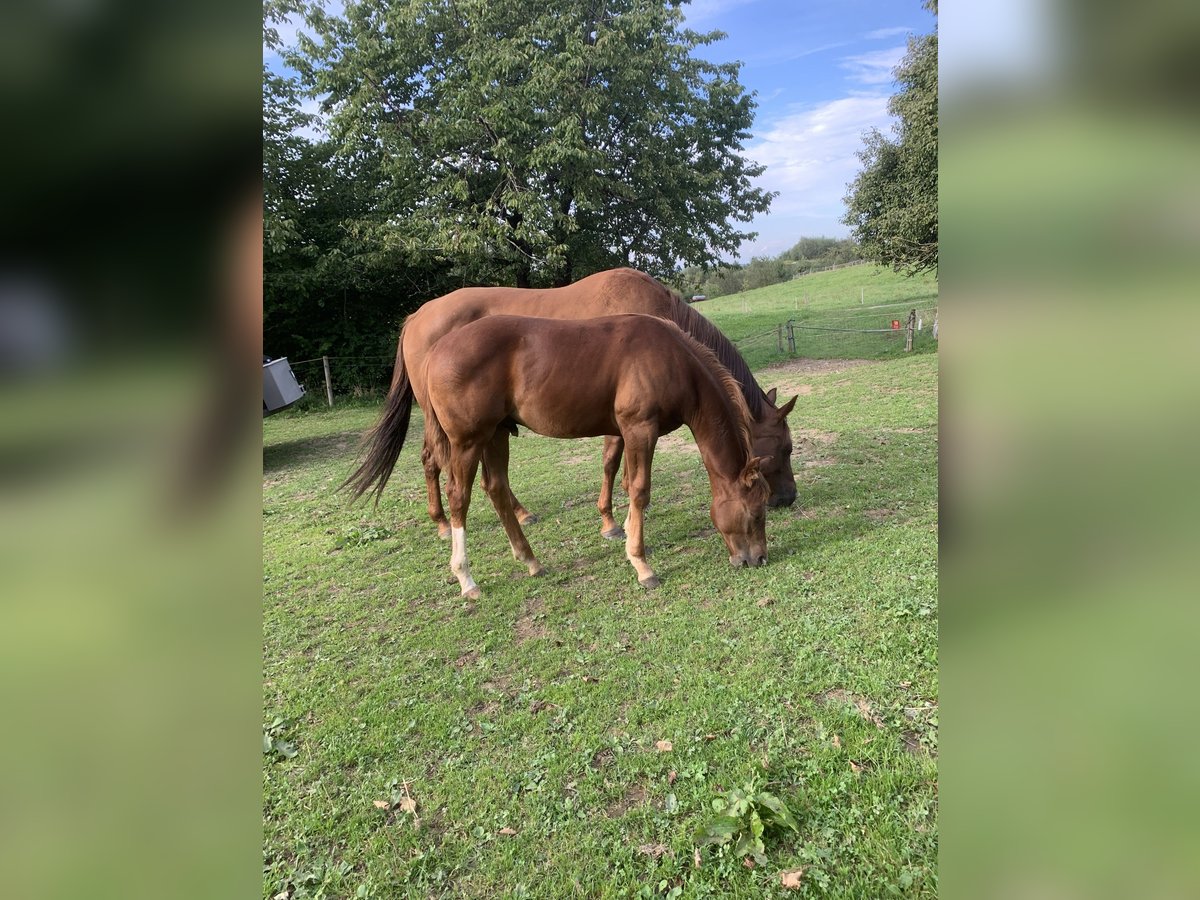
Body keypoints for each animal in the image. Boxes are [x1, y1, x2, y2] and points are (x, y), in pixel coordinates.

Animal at [348, 267, 796, 542]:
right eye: (785, 448)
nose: (788, 498)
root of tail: (416, 318)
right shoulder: (624, 419)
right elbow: (612, 464)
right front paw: (612, 521)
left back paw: (518, 513)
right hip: (444, 422)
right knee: (432, 460)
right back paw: (444, 524)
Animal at [350, 316, 772, 600]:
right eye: (756, 511)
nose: (759, 559)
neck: (671, 357)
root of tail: (435, 350)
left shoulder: (627, 432)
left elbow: (625, 484)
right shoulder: (639, 428)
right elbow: (639, 491)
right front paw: (641, 564)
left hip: (496, 434)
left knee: (496, 488)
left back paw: (530, 560)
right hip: (467, 441)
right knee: (460, 497)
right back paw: (466, 579)